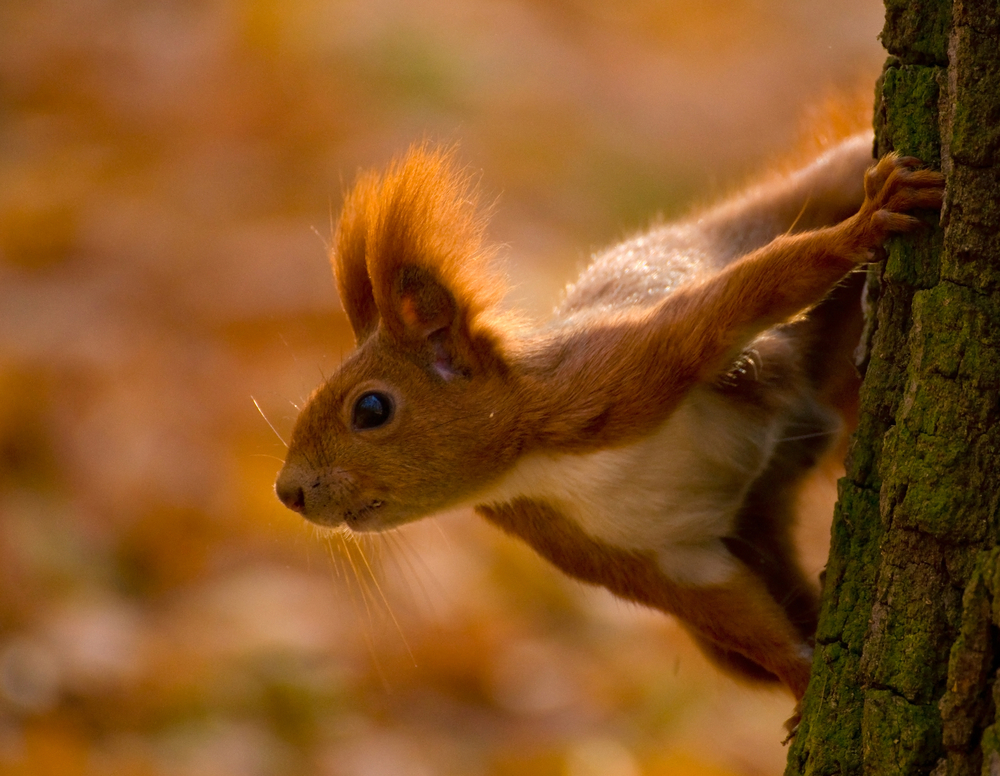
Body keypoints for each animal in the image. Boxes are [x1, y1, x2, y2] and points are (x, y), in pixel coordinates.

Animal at [276, 135, 944, 708]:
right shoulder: (640, 560)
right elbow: (734, 614)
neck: (536, 467)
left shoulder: (618, 373)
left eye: (371, 409)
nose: (289, 492)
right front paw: (805, 685)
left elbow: (749, 295)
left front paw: (863, 229)